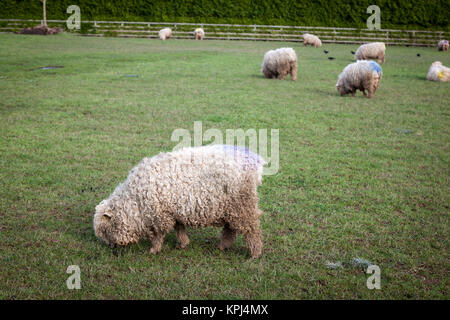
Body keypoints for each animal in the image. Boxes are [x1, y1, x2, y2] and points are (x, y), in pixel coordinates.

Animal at [93, 144, 266, 258]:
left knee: (252, 229)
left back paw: (255, 254)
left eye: (105, 230)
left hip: (243, 203)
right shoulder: (173, 210)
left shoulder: (159, 214)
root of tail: (253, 159)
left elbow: (158, 234)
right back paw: (223, 246)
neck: (135, 200)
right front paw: (183, 243)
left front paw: (154, 250)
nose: (111, 247)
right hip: (232, 207)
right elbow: (179, 228)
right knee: (231, 228)